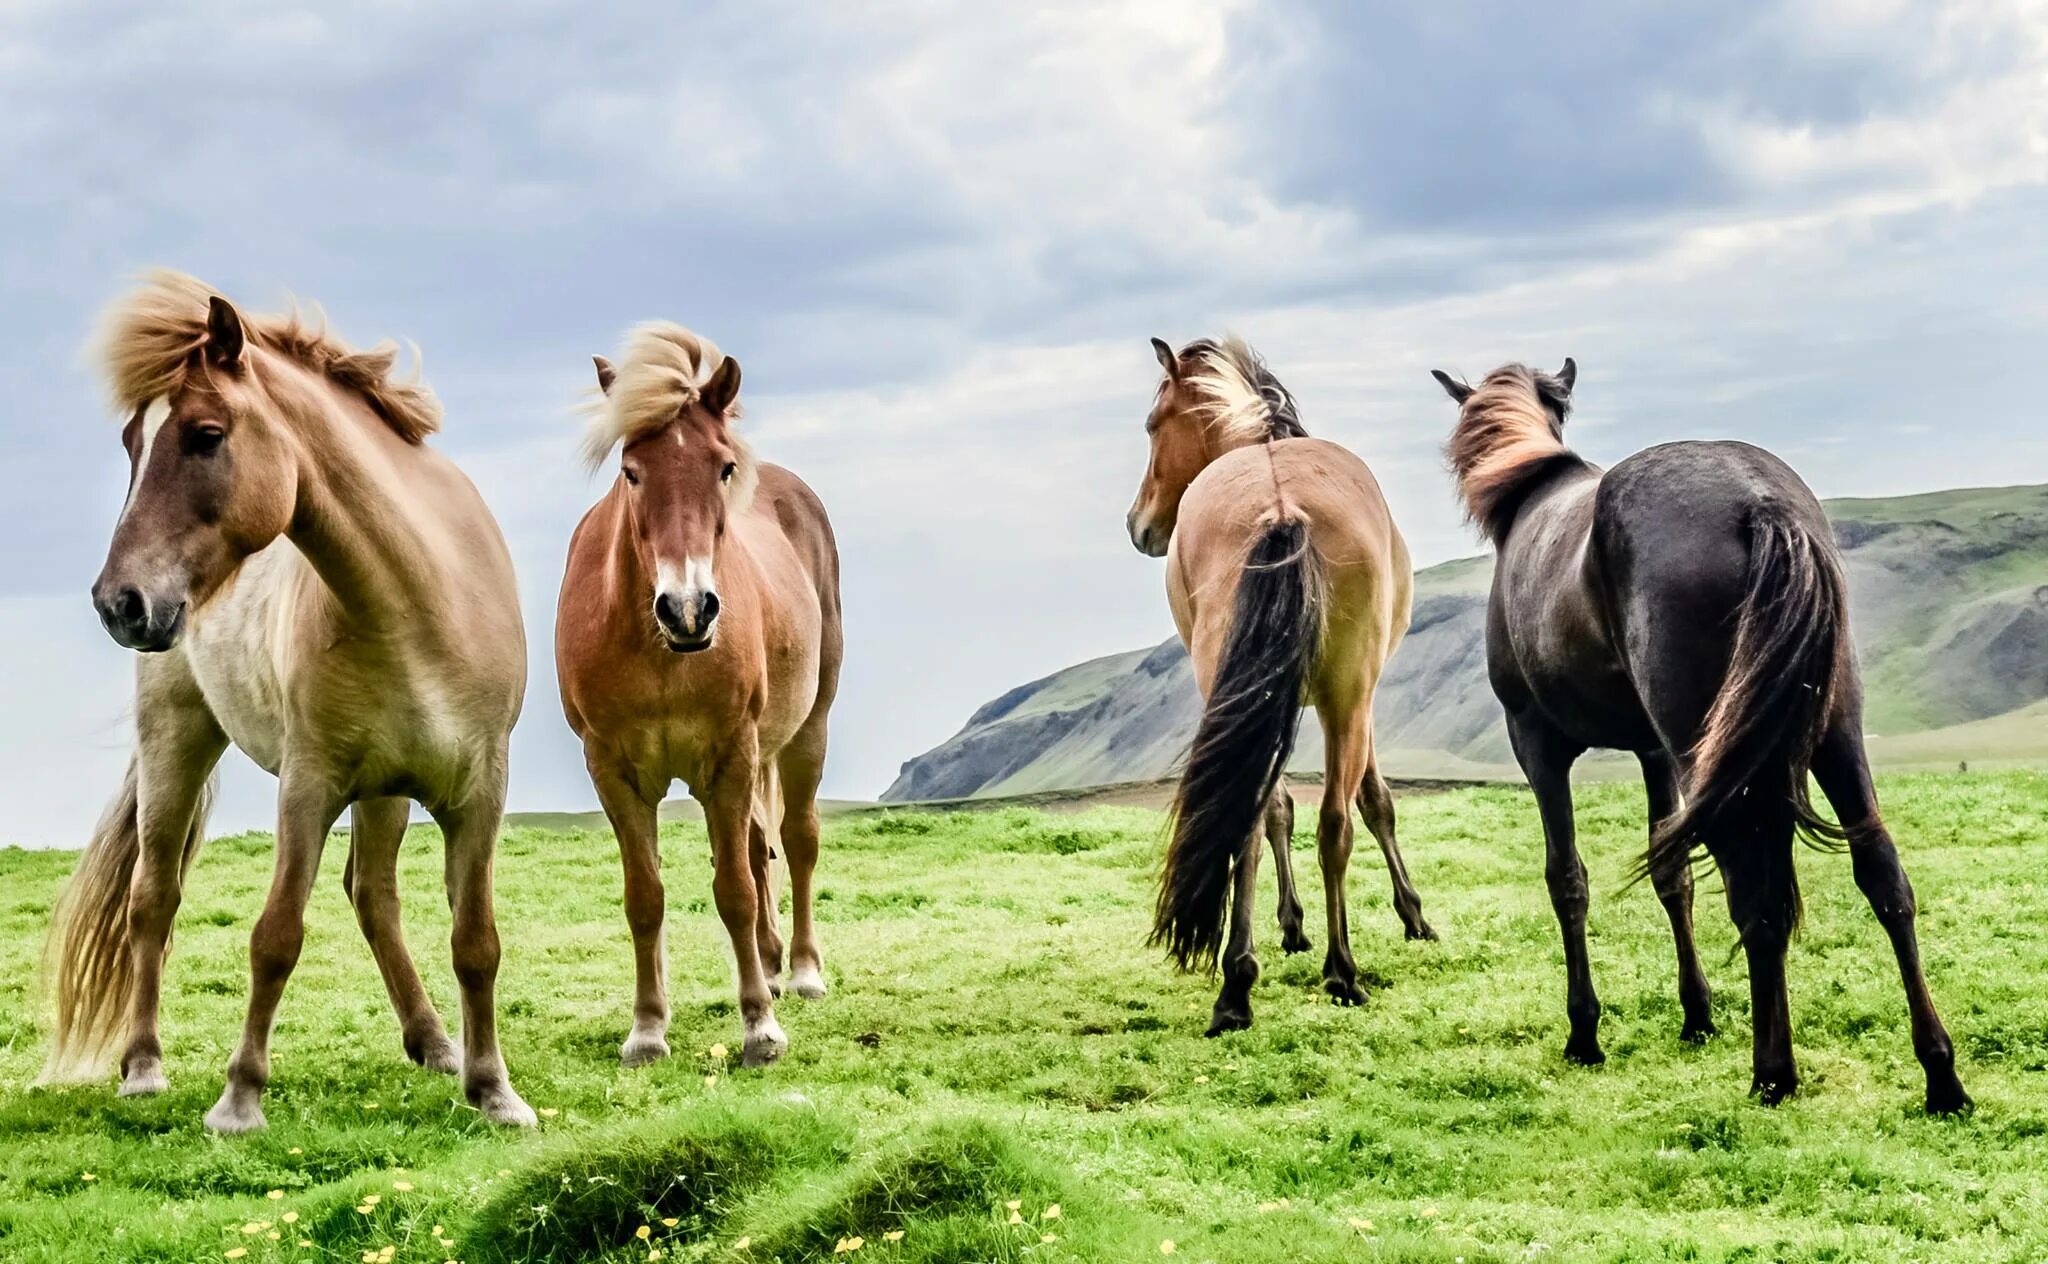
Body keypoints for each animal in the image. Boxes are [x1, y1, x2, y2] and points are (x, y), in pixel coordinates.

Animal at [46, 270, 536, 1130]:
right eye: (132, 443)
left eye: (205, 435)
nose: (119, 603)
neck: (420, 603)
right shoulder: (308, 787)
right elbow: (275, 936)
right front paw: (239, 1099)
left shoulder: (480, 793)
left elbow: (476, 940)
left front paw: (493, 1091)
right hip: (177, 743)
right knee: (153, 900)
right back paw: (143, 1066)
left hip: (385, 792)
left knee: (373, 898)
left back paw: (433, 1041)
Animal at [552, 323, 839, 1065]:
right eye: (631, 470)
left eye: (722, 467)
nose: (688, 610)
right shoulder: (613, 771)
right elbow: (645, 897)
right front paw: (648, 1028)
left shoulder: (731, 757)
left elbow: (734, 889)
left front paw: (759, 1028)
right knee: (761, 849)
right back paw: (770, 964)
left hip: (807, 730)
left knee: (795, 841)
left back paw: (800, 971)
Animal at [1130, 335, 1433, 1036]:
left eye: (1153, 425)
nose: (1139, 525)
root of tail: (1281, 504)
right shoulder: (1353, 696)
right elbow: (1372, 801)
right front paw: (1410, 914)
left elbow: (1294, 807)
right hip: (1343, 696)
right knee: (1331, 823)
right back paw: (1335, 970)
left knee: (1263, 819)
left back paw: (1239, 986)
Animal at [1425, 356, 1966, 1114]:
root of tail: (1759, 502)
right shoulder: (1653, 754)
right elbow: (1670, 874)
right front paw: (1697, 1015)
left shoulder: (1537, 747)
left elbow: (1568, 881)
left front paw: (1584, 1034)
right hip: (1832, 735)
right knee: (1883, 877)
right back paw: (1941, 1075)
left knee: (1757, 900)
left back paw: (1773, 1073)